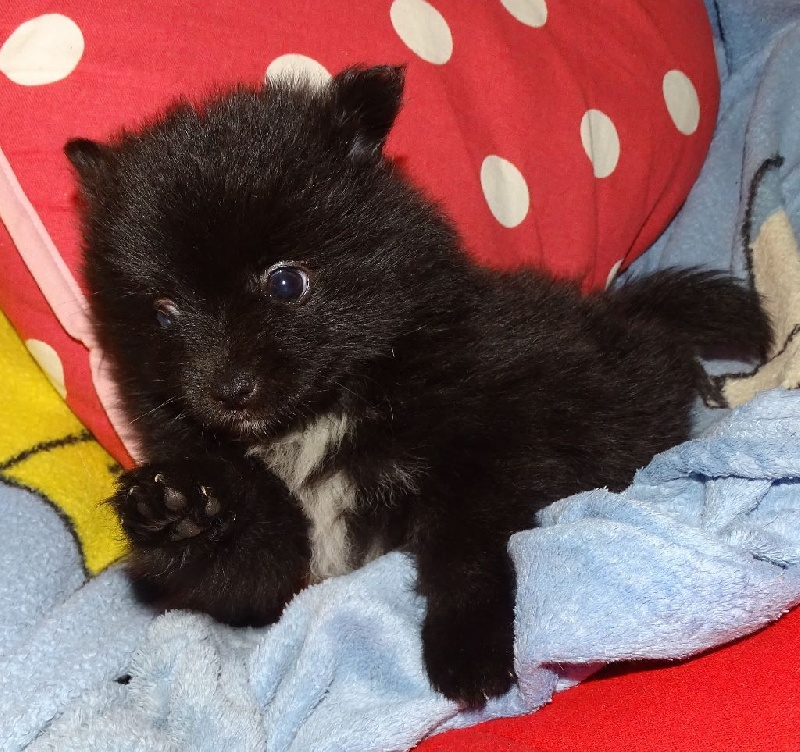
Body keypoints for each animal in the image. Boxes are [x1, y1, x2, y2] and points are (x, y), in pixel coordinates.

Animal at [65, 65, 771, 706]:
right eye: (162, 314)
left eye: (286, 282)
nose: (227, 388)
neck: (324, 412)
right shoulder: (283, 565)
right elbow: (247, 567)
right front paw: (176, 508)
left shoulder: (481, 460)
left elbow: (465, 551)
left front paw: (469, 649)